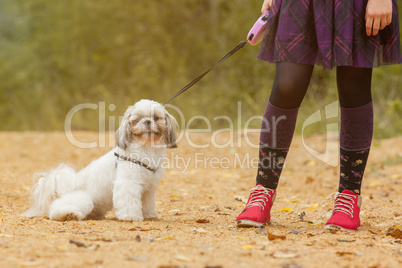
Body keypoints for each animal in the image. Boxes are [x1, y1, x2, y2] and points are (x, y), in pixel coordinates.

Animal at [23, 99, 177, 221]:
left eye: (156, 118)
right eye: (137, 119)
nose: (147, 121)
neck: (147, 148)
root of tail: (63, 190)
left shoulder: (148, 188)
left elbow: (147, 203)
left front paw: (149, 214)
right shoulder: (128, 183)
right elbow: (129, 202)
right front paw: (130, 216)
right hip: (84, 200)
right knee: (56, 210)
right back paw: (69, 214)